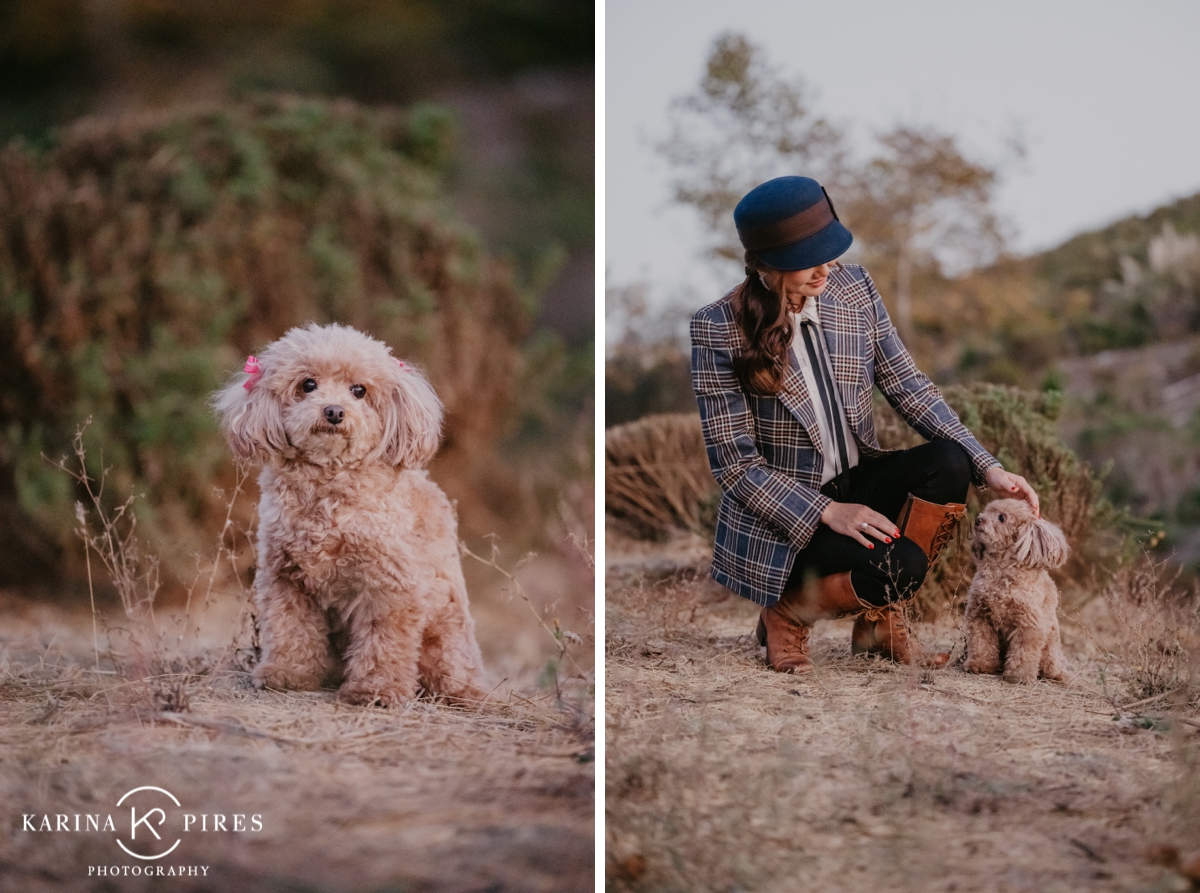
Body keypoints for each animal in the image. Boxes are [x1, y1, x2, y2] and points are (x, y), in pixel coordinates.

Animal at [213, 321, 484, 705]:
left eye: (359, 391)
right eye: (308, 384)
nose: (334, 411)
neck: (329, 485)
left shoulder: (390, 585)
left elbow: (384, 642)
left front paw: (377, 689)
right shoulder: (285, 577)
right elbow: (289, 628)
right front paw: (288, 673)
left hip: (446, 632)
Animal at [964, 494, 1070, 681]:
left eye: (1001, 517)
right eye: (986, 511)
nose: (978, 519)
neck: (1001, 570)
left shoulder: (1028, 624)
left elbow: (1024, 651)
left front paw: (1018, 675)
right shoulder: (979, 615)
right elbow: (981, 642)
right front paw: (980, 664)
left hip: (1050, 647)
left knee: (1050, 665)